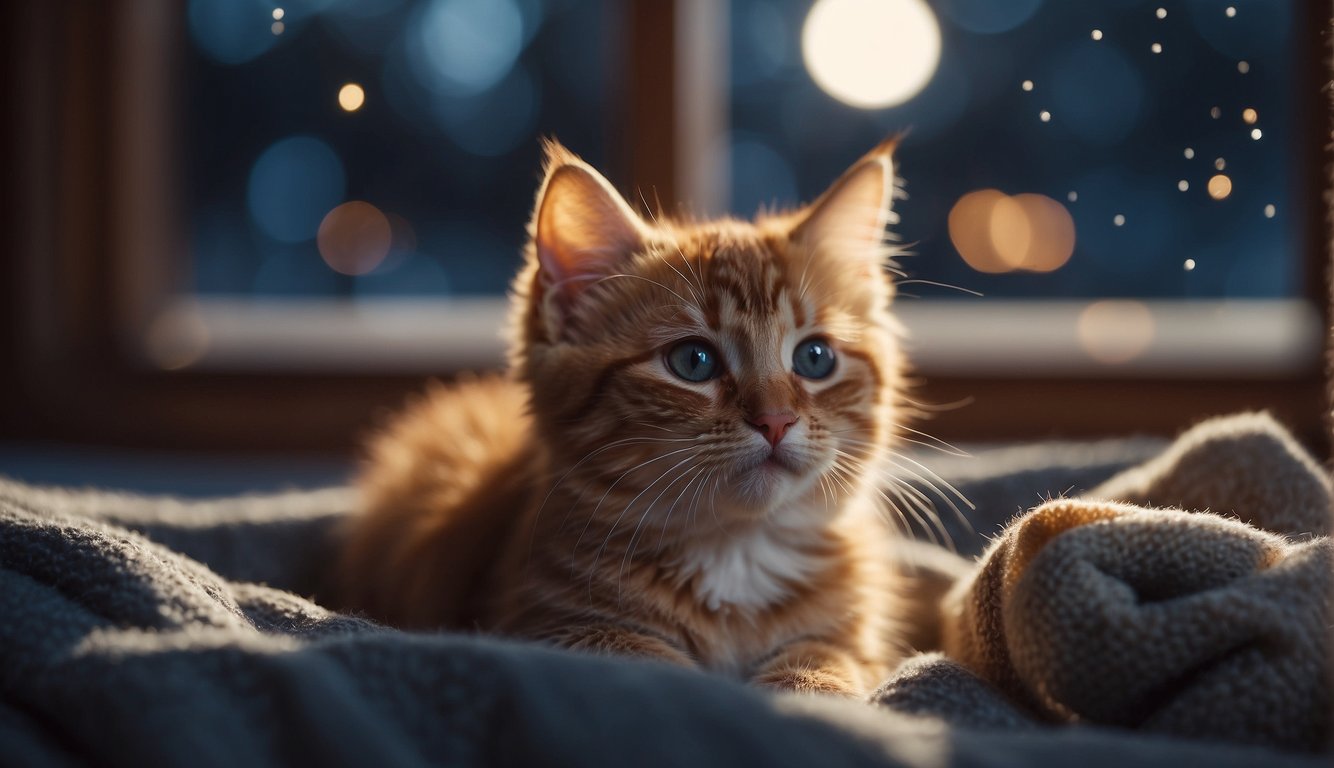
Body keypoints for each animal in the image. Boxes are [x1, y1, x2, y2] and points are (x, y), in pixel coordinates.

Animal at [338, 138, 912, 693]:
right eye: (693, 361)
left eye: (815, 359)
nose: (775, 420)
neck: (735, 553)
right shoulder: (544, 627)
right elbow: (649, 668)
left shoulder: (855, 642)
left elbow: (824, 658)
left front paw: (810, 690)